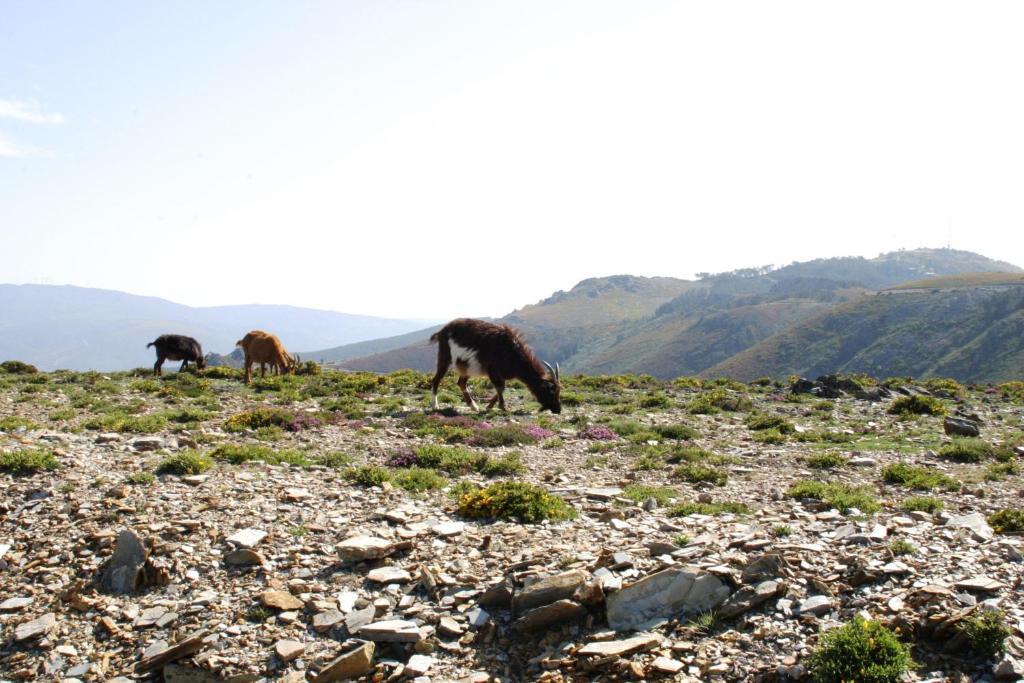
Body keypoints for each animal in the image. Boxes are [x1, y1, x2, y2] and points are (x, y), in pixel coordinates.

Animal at [430, 319, 565, 413]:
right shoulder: (492, 370)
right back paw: (435, 405)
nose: (558, 410)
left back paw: (473, 406)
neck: (511, 351)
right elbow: (499, 387)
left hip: (468, 366)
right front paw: (502, 407)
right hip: (445, 357)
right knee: (436, 380)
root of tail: (442, 331)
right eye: (550, 391)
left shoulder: (502, 374)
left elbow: (502, 387)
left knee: (461, 382)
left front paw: (489, 406)